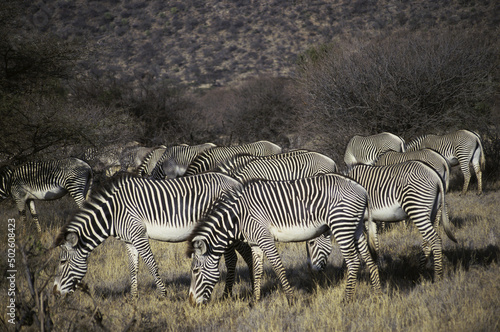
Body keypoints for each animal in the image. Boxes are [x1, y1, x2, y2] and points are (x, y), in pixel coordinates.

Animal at [52, 172, 252, 296]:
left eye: (62, 262)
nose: (55, 292)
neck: (113, 212)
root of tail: (235, 182)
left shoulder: (139, 235)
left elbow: (151, 264)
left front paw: (163, 294)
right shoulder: (129, 240)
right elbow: (133, 268)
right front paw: (134, 299)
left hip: (224, 229)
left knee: (236, 257)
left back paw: (234, 292)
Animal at [187, 174, 378, 306]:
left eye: (195, 271)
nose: (191, 303)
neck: (238, 217)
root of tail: (362, 189)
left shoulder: (265, 238)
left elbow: (278, 267)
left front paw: (291, 300)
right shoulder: (255, 243)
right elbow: (257, 271)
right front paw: (255, 301)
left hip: (341, 225)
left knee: (353, 261)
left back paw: (347, 299)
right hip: (356, 227)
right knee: (369, 258)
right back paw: (378, 292)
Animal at [308, 161, 458, 278]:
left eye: (311, 243)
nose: (314, 272)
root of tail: (434, 173)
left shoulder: (357, 220)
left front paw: (345, 271)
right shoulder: (369, 220)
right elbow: (374, 243)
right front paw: (378, 266)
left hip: (417, 208)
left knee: (435, 239)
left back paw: (437, 276)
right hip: (431, 211)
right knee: (428, 239)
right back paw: (420, 272)